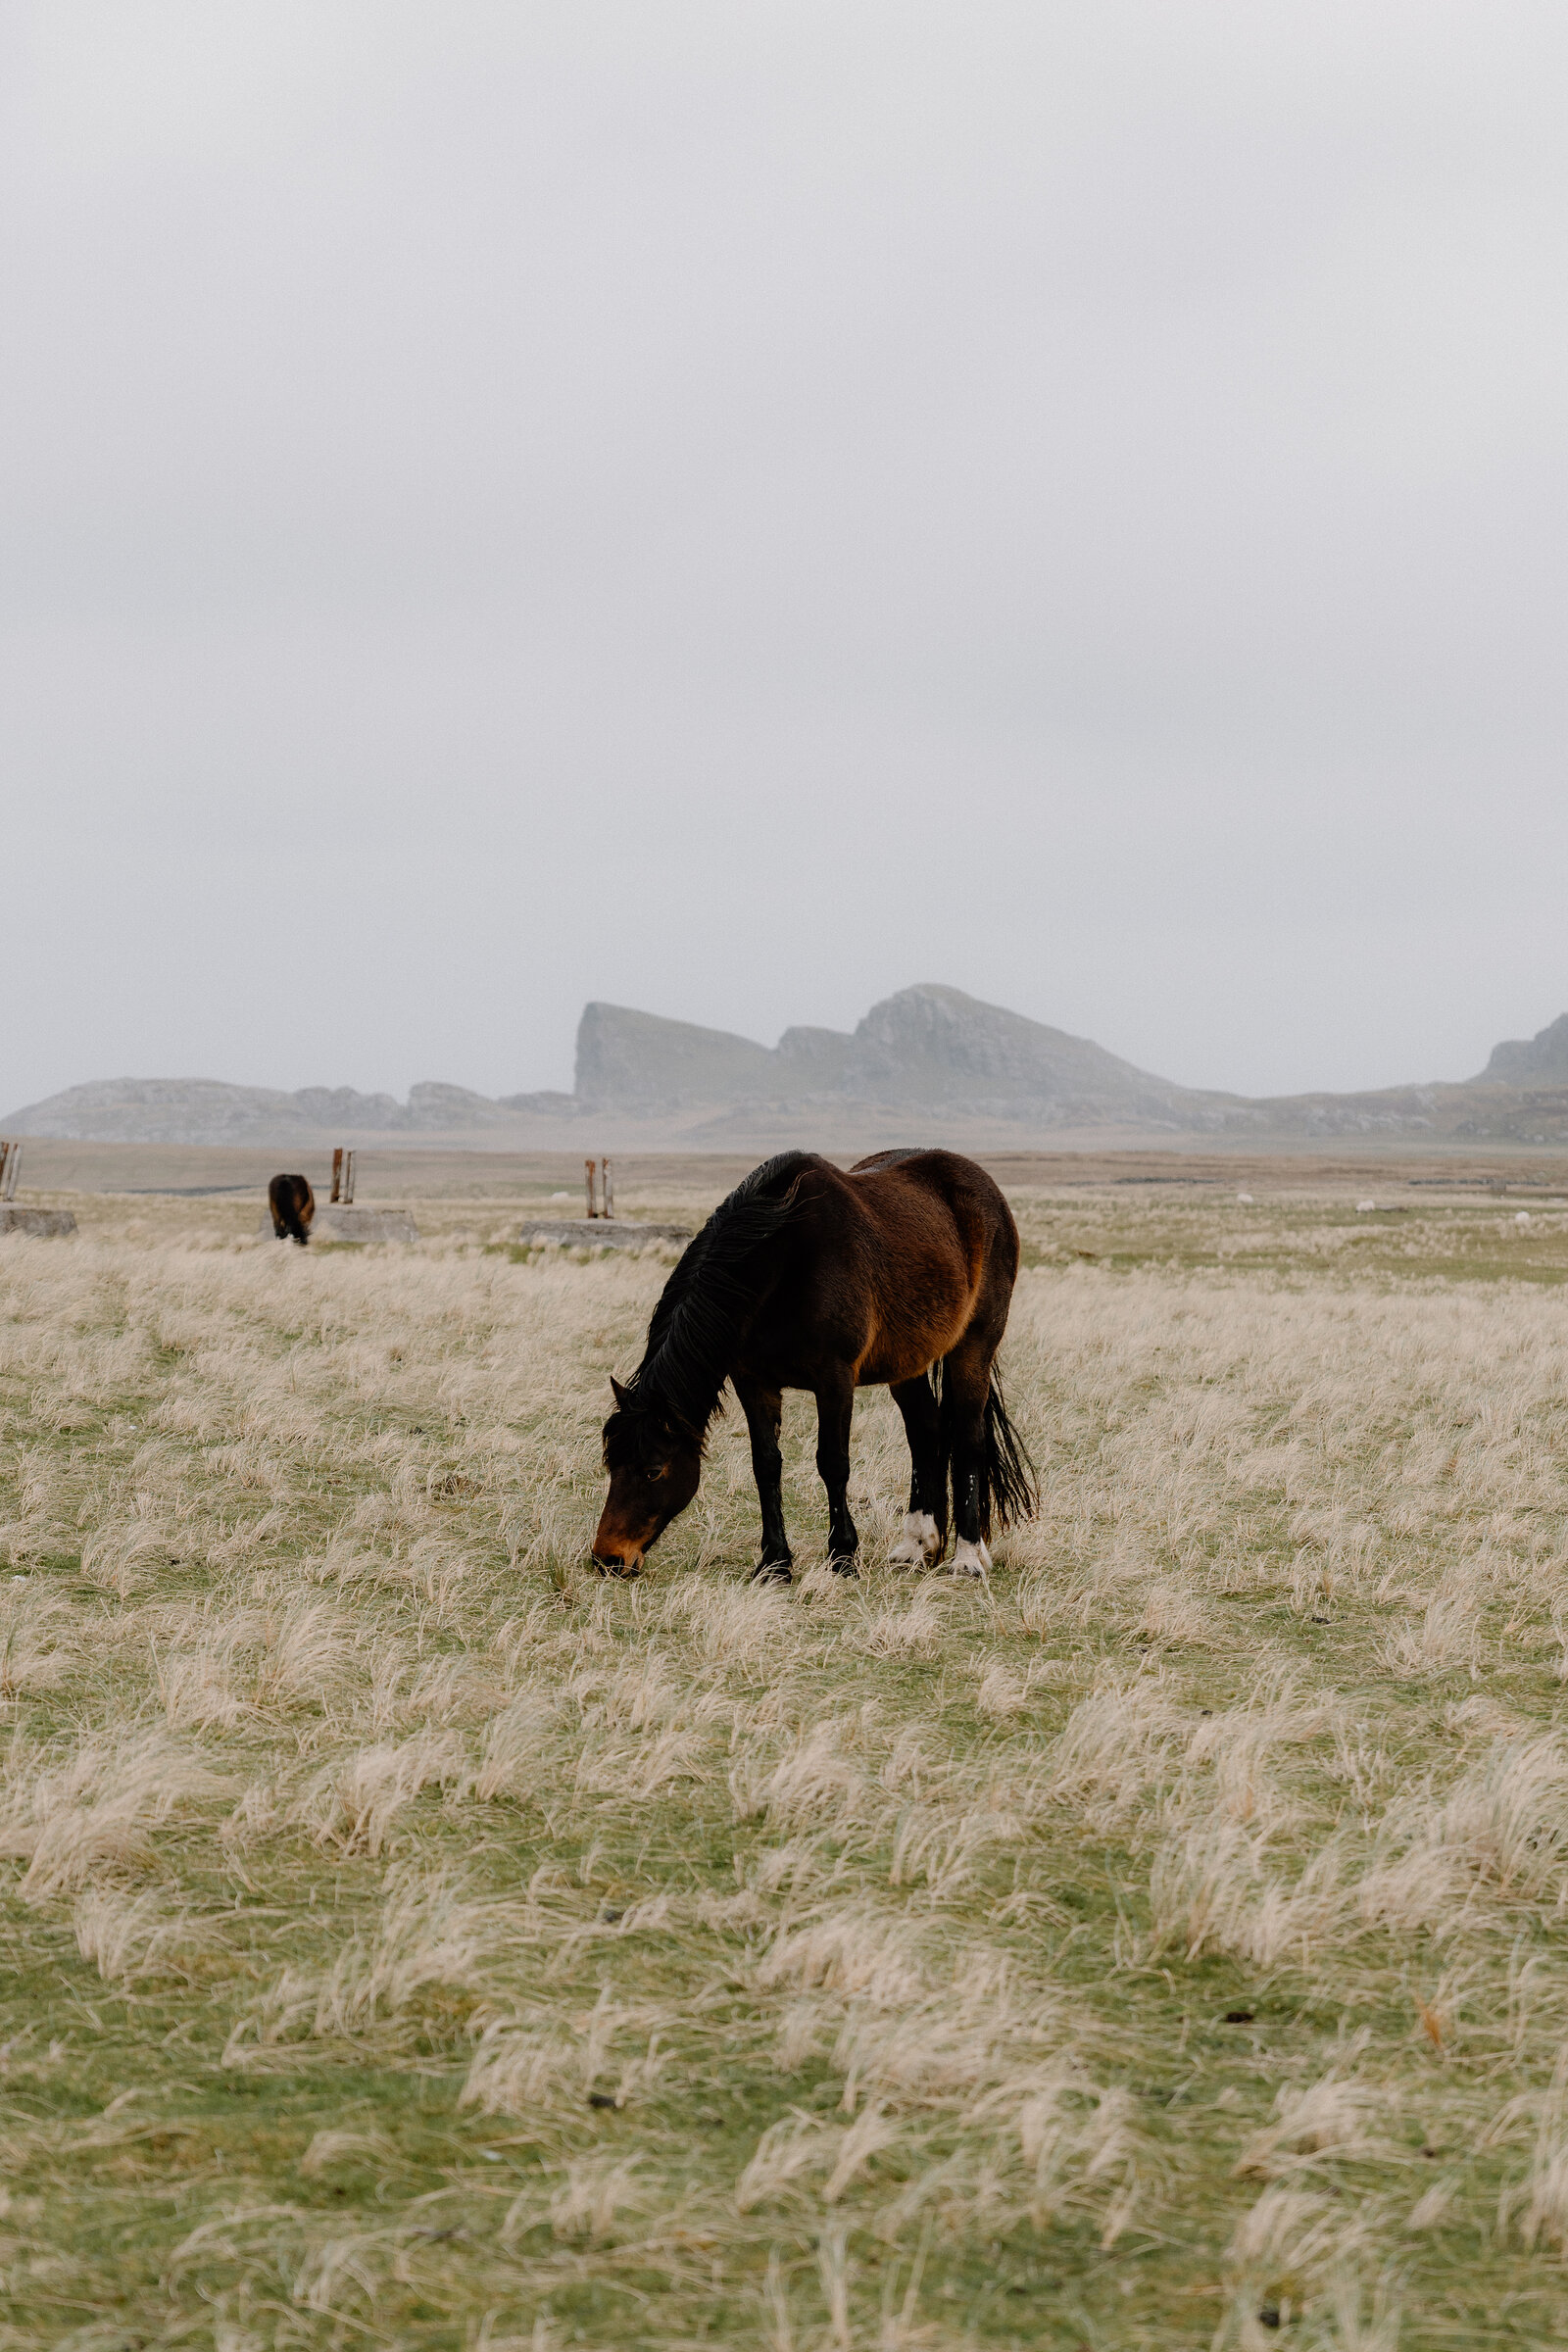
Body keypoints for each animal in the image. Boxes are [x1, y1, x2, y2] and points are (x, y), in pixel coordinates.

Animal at [592, 1148, 1036, 1582]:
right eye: (611, 1463)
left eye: (653, 1470)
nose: (608, 1559)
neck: (782, 1263)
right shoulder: (752, 1381)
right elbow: (766, 1465)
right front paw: (775, 1563)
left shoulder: (834, 1378)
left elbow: (833, 1463)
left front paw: (843, 1556)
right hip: (907, 1363)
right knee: (926, 1432)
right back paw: (917, 1546)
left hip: (974, 1346)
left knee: (968, 1437)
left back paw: (968, 1557)